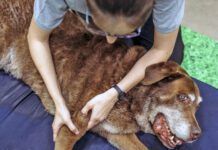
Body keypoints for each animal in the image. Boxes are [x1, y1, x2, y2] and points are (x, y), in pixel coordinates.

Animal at [0, 0, 202, 149]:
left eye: (197, 106)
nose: (197, 135)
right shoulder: (71, 127)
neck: (132, 95)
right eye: (183, 98)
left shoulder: (117, 133)